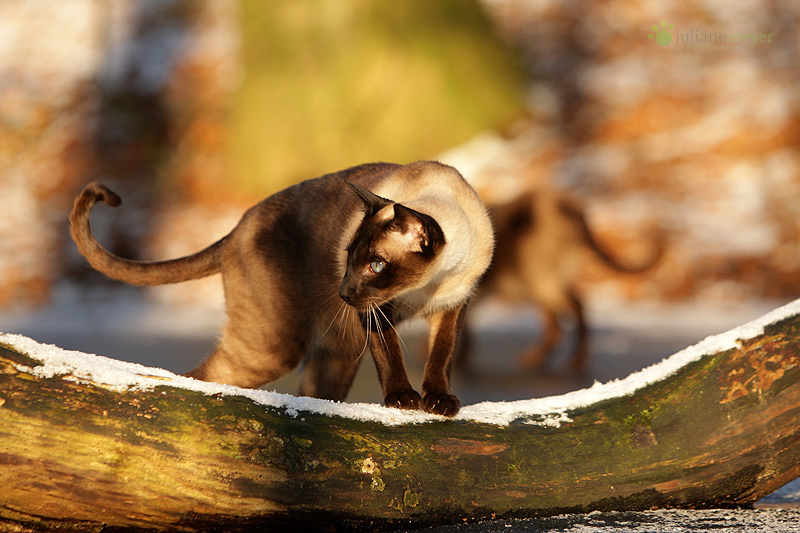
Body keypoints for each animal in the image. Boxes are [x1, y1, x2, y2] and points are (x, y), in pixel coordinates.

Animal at [72, 160, 494, 418]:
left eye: (374, 265)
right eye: (350, 257)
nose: (344, 292)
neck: (425, 288)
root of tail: (237, 227)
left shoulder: (454, 305)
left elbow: (440, 357)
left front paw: (439, 402)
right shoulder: (376, 310)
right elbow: (391, 355)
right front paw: (404, 401)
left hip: (337, 357)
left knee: (311, 396)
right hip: (273, 350)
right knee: (198, 376)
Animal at [466, 191, 660, 374]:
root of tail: (567, 205)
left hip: (540, 283)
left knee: (574, 310)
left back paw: (573, 361)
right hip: (543, 285)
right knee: (560, 322)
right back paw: (544, 359)